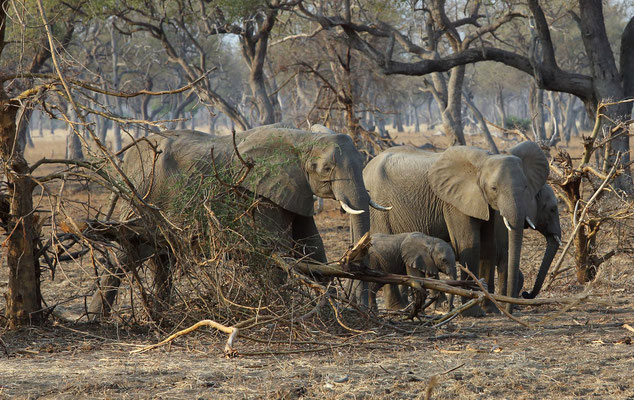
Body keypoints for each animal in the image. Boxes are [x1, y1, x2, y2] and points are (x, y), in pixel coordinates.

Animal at [88, 126, 386, 318]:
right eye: (325, 169)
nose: (367, 312)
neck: (303, 139)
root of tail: (125, 160)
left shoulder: (296, 191)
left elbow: (312, 250)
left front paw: (331, 310)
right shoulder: (259, 193)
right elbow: (276, 251)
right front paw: (279, 312)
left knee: (161, 259)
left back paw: (162, 316)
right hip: (143, 196)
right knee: (126, 253)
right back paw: (97, 318)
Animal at [362, 142, 552, 314]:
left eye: (526, 186)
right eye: (494, 188)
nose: (523, 296)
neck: (485, 160)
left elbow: (488, 247)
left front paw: (490, 309)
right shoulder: (454, 203)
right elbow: (470, 244)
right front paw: (474, 312)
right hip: (377, 205)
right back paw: (398, 307)